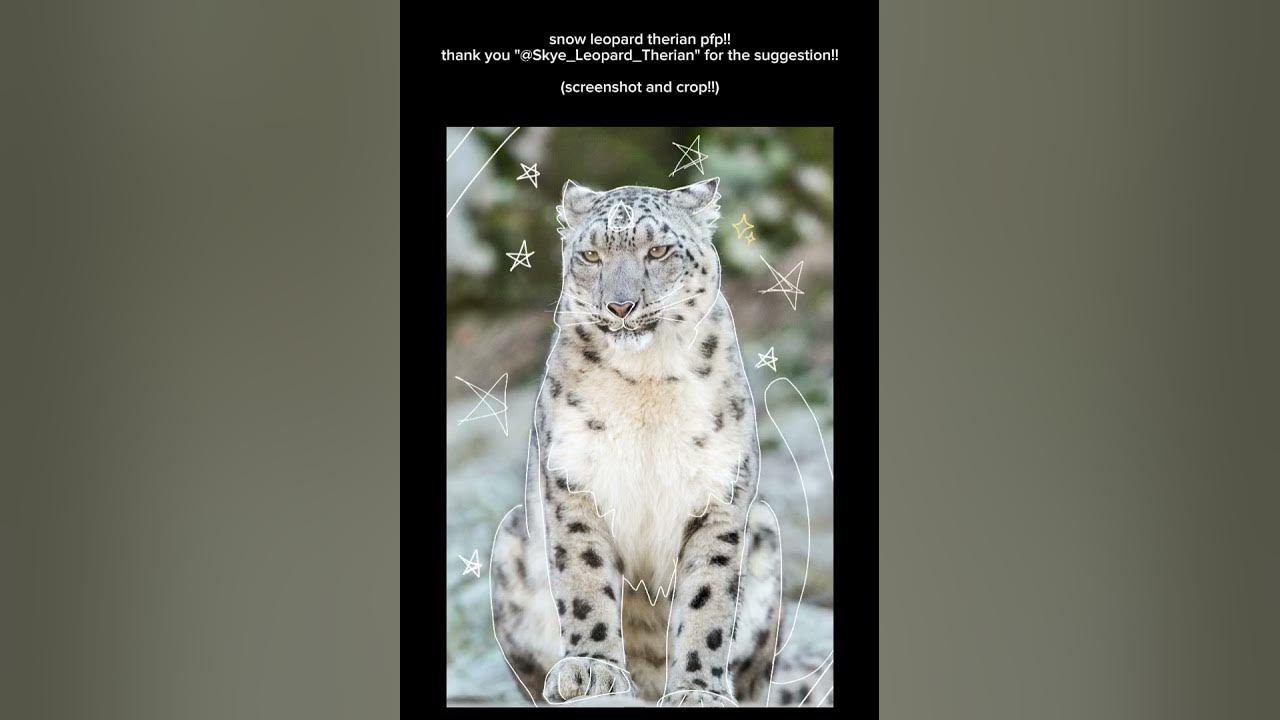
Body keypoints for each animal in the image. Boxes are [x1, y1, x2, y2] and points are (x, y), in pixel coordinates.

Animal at [489, 177, 833, 707]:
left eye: (658, 250)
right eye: (591, 255)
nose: (620, 305)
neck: (645, 381)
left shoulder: (719, 491)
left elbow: (707, 600)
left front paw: (697, 690)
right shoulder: (573, 478)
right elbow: (585, 577)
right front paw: (591, 668)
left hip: (765, 537)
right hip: (511, 543)